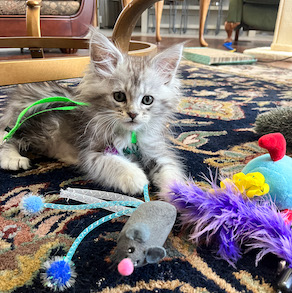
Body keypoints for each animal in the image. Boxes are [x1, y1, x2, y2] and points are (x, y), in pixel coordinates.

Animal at [0, 29, 185, 194]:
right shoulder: (93, 152)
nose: (133, 114)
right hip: (33, 127)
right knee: (7, 138)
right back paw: (13, 159)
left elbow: (170, 171)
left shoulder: (156, 150)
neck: (131, 136)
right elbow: (117, 164)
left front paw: (183, 196)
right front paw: (137, 178)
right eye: (119, 96)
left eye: (147, 100)